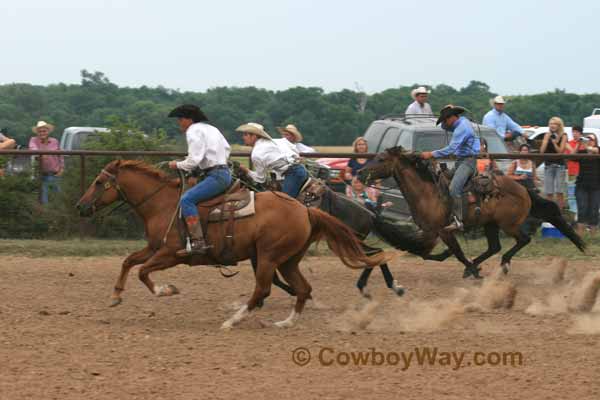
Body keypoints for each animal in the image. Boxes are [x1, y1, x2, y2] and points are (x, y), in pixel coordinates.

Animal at [75, 161, 390, 330]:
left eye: (99, 181)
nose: (80, 207)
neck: (163, 204)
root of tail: (305, 210)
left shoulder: (171, 254)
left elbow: (143, 273)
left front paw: (167, 290)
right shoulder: (154, 248)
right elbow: (129, 261)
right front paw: (115, 296)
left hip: (268, 256)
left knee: (263, 289)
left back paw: (233, 321)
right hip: (288, 259)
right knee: (302, 288)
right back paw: (285, 323)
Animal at [358, 147, 584, 278]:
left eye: (381, 159)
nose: (360, 173)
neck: (426, 193)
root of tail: (523, 188)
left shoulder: (444, 231)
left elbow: (457, 253)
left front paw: (471, 268)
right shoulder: (429, 231)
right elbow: (424, 254)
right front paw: (458, 260)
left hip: (508, 224)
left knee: (522, 240)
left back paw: (502, 263)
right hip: (490, 224)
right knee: (494, 247)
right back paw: (480, 264)